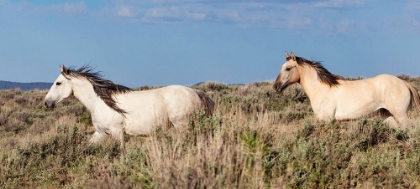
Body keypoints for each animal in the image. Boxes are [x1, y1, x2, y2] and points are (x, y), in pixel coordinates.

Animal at [45, 65, 215, 154]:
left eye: (58, 83)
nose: (47, 103)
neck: (100, 102)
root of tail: (197, 93)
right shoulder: (101, 133)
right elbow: (89, 145)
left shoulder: (117, 131)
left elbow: (122, 151)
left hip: (182, 125)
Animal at [274, 51, 420, 128]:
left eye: (288, 68)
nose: (276, 86)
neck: (321, 89)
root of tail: (404, 83)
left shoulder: (326, 119)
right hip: (386, 115)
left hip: (400, 114)